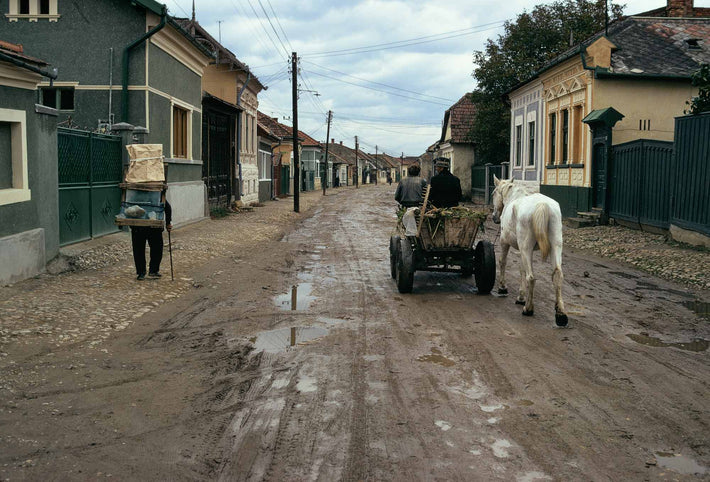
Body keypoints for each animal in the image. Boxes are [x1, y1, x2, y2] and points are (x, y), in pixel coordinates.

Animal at [492, 177, 572, 328]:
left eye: (493, 193)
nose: (494, 217)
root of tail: (542, 205)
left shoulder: (505, 242)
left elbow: (503, 262)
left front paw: (503, 288)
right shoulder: (523, 250)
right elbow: (521, 268)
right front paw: (521, 296)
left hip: (526, 247)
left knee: (531, 277)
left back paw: (528, 309)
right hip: (555, 246)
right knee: (557, 275)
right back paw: (561, 315)